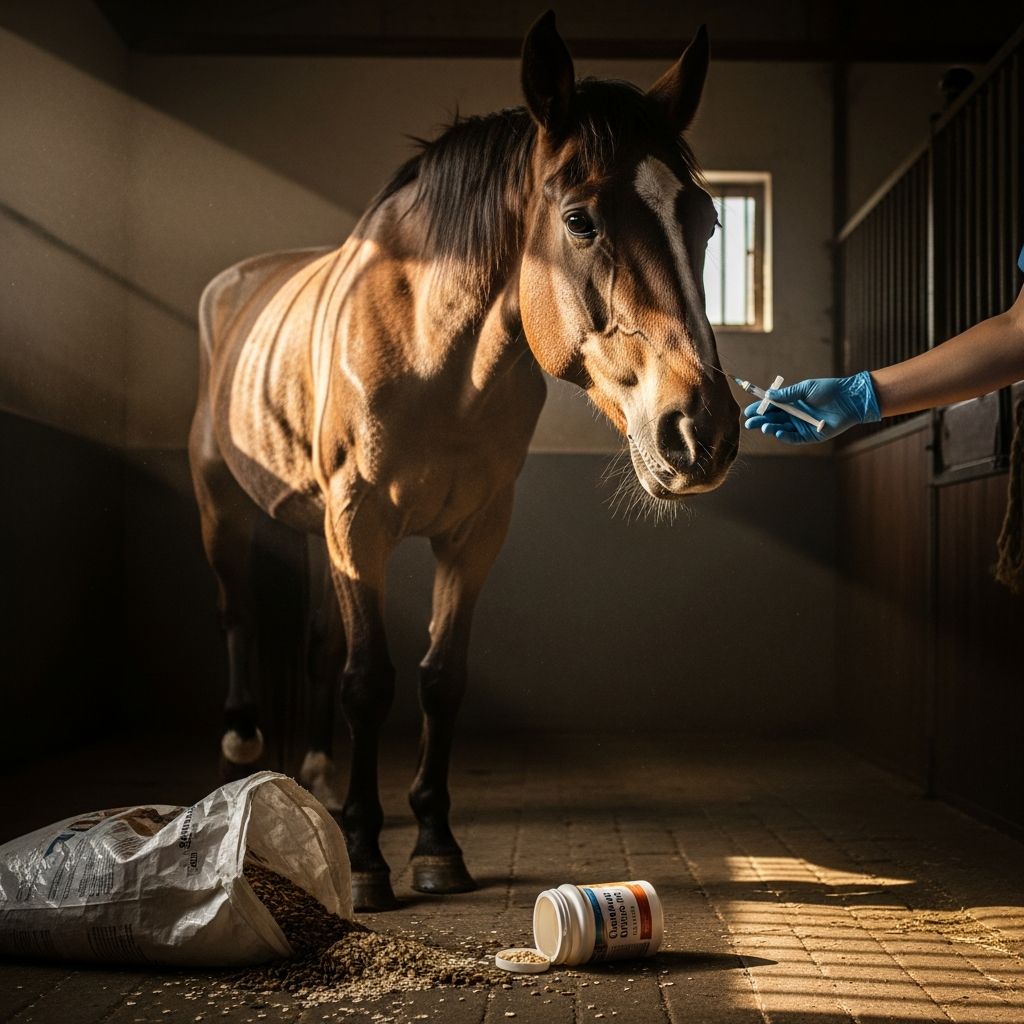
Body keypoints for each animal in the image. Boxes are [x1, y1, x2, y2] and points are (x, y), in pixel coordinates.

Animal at [189, 11, 740, 912]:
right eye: (580, 220)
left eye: (706, 222)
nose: (703, 431)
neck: (432, 351)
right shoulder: (359, 523)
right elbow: (369, 679)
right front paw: (366, 856)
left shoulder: (475, 532)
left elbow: (440, 678)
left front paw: (436, 845)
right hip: (222, 504)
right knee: (236, 607)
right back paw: (242, 743)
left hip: (312, 524)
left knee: (313, 638)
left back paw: (313, 774)